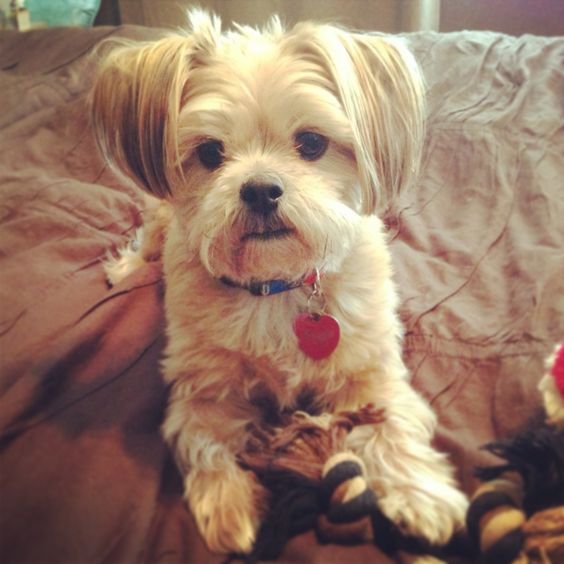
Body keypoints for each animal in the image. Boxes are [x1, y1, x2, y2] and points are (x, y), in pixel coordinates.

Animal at [91, 9, 468, 556]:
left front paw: (419, 491)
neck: (275, 284)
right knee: (152, 233)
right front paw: (227, 502)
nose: (260, 189)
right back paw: (132, 268)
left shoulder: (368, 368)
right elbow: (203, 439)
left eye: (311, 143)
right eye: (210, 152)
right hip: (160, 217)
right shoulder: (202, 387)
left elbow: (390, 424)